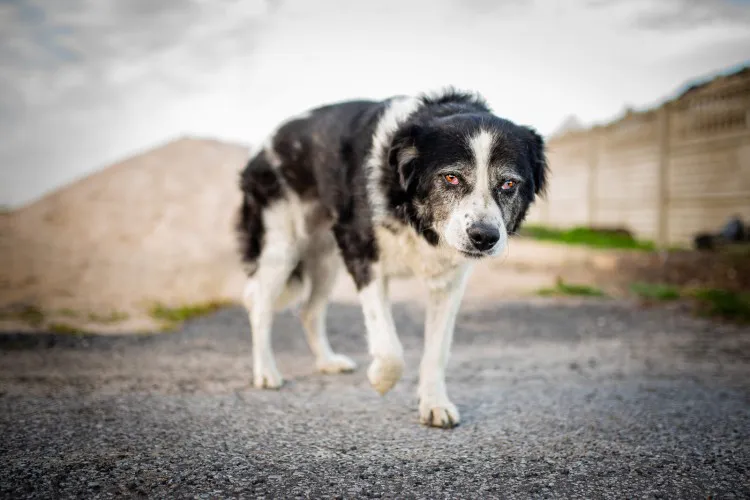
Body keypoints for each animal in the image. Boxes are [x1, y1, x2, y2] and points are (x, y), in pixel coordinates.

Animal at [238, 88, 548, 428]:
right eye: (451, 178)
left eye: (509, 183)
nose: (484, 237)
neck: (412, 213)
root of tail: (266, 142)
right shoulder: (363, 255)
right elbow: (389, 348)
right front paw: (382, 380)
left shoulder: (449, 282)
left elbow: (437, 350)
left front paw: (434, 403)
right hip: (281, 245)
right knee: (259, 305)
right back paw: (266, 372)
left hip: (325, 258)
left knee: (309, 310)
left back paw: (327, 361)